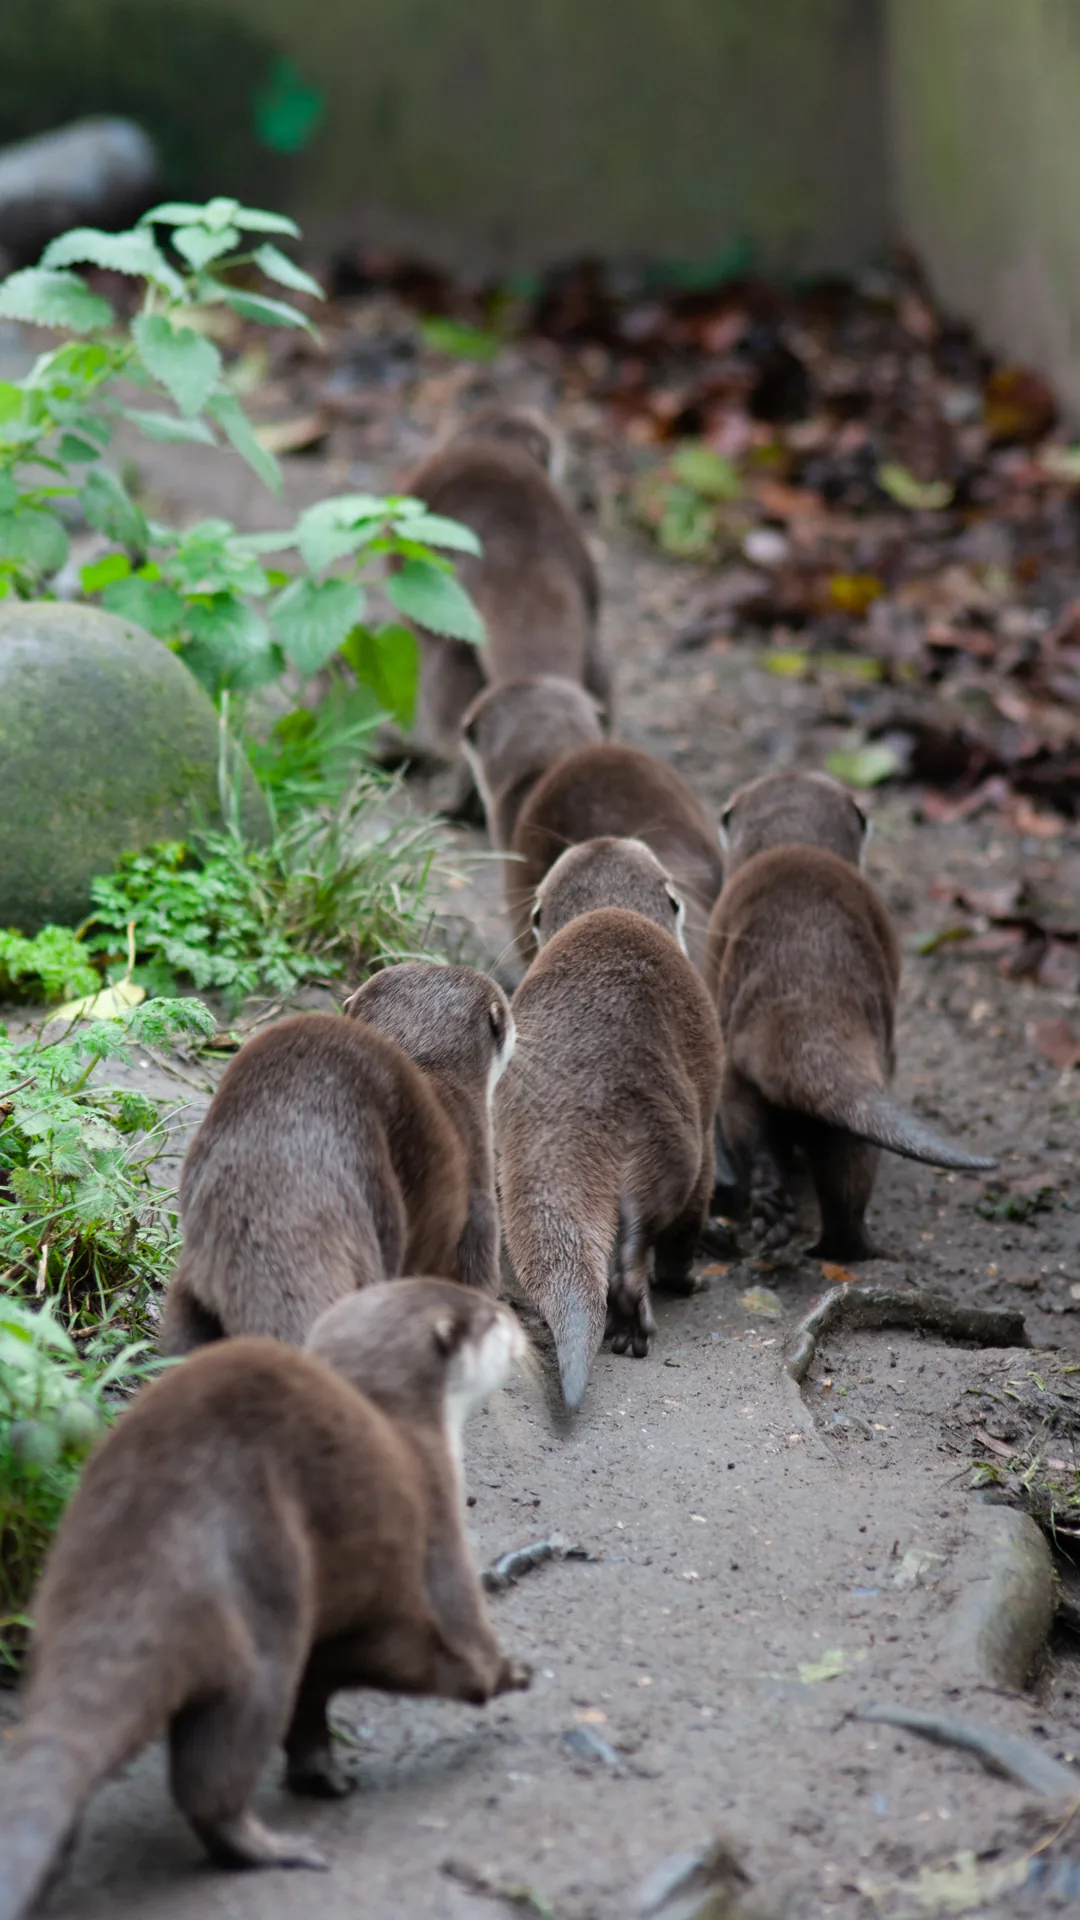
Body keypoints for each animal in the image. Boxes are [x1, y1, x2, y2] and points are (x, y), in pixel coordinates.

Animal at [0, 1280, 530, 1918]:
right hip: (260, 1603)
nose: (518, 1325)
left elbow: (318, 1695)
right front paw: (510, 1671)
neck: (408, 1425)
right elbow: (458, 1651)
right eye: (491, 1318)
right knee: (217, 1768)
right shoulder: (436, 1521)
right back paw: (274, 1847)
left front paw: (321, 1774)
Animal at [706, 770, 996, 1260]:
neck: (794, 843)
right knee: (838, 1181)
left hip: (739, 1076)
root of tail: (806, 1027)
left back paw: (781, 1224)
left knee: (769, 1152)